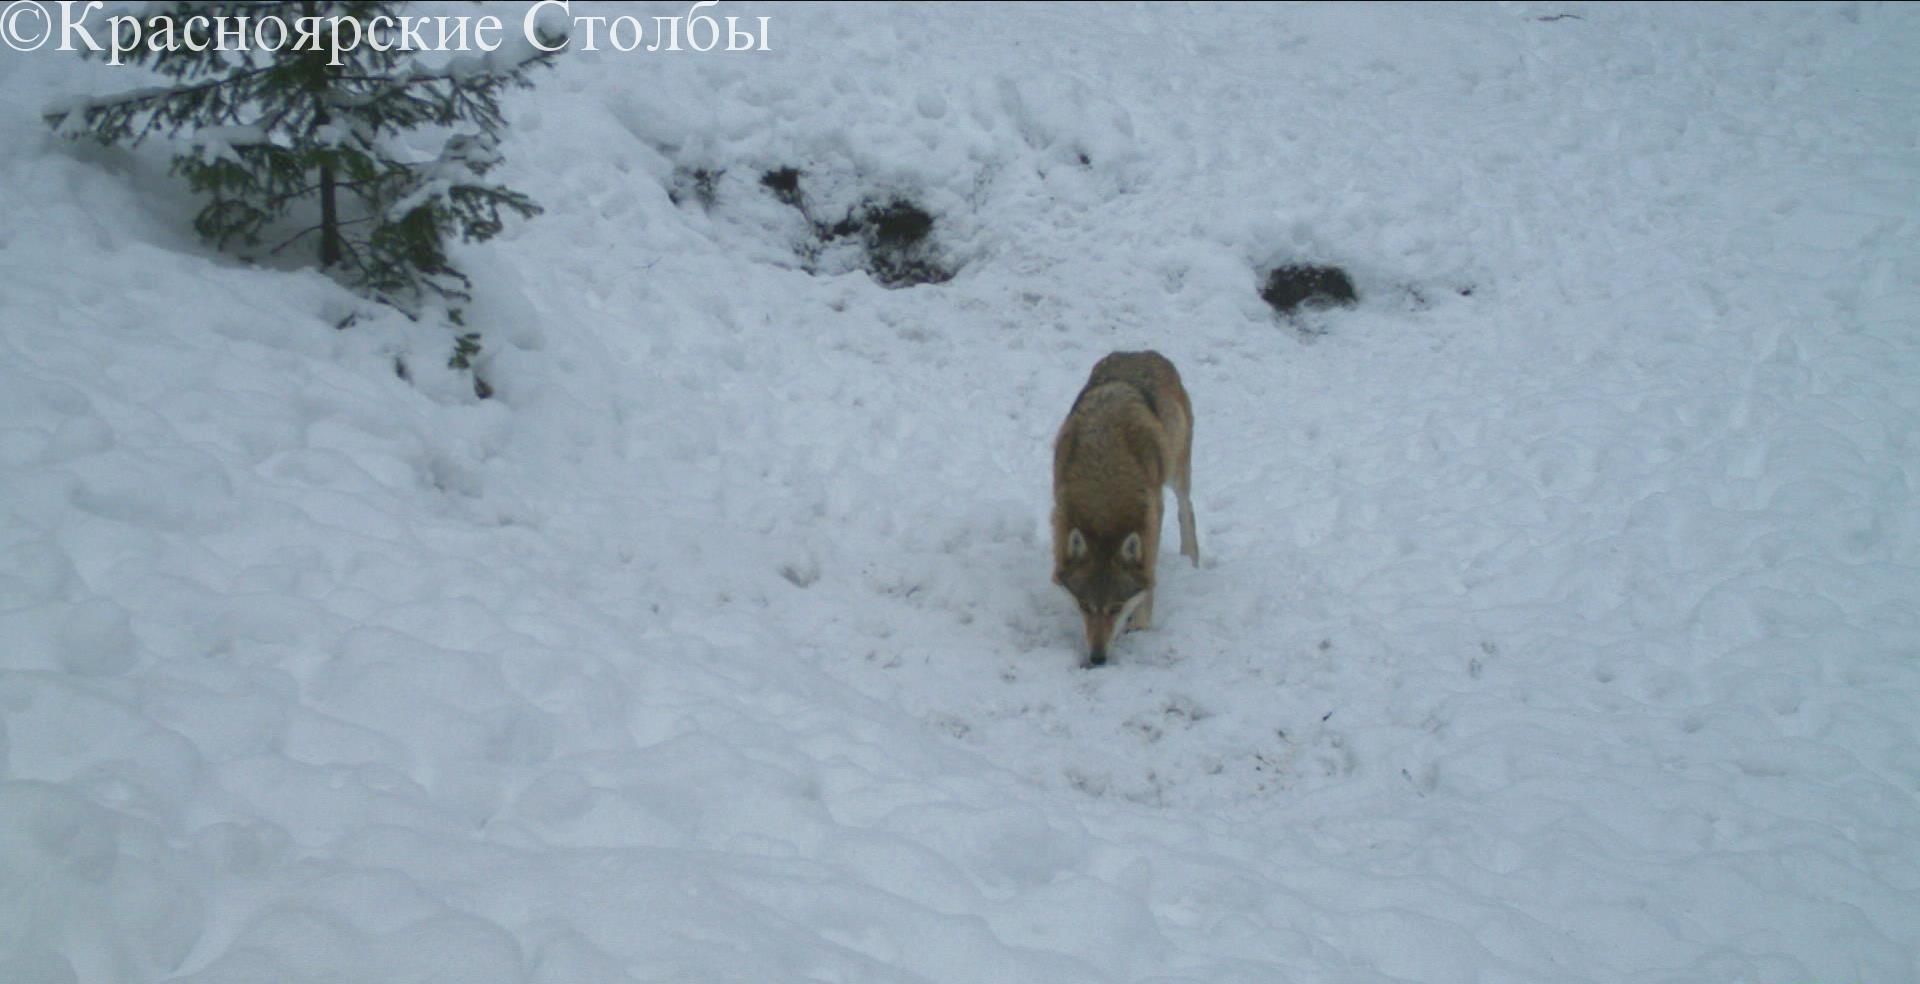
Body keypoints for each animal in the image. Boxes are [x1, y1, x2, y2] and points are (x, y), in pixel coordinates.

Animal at [1051, 350, 1199, 667]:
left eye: (1116, 607)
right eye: (1085, 605)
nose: (1097, 659)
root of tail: (1142, 352)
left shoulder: (1153, 513)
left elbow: (1149, 578)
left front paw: (1140, 623)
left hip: (1176, 472)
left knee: (1187, 509)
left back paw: (1191, 560)